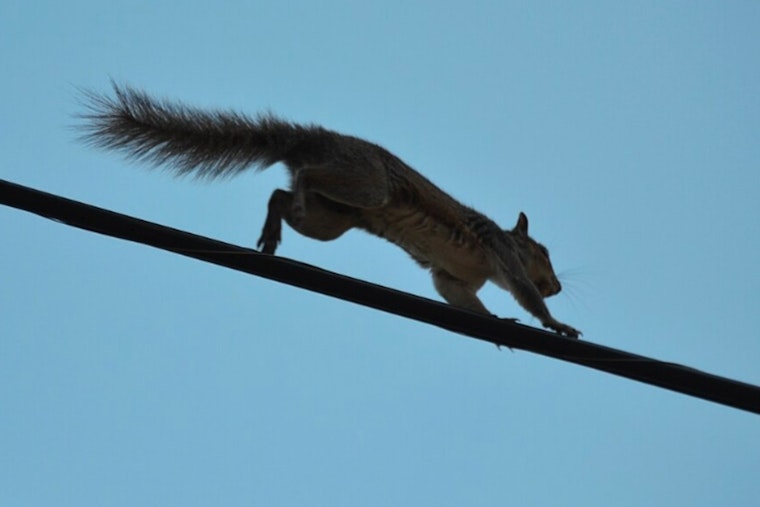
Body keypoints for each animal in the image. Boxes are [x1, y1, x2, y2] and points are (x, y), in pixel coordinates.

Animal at [77, 83, 581, 338]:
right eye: (542, 252)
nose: (557, 286)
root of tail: (312, 140)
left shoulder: (453, 277)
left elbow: (460, 298)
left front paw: (496, 321)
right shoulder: (502, 253)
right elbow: (522, 290)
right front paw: (555, 323)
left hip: (333, 218)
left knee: (280, 196)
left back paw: (274, 228)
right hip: (367, 186)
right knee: (305, 178)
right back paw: (295, 193)